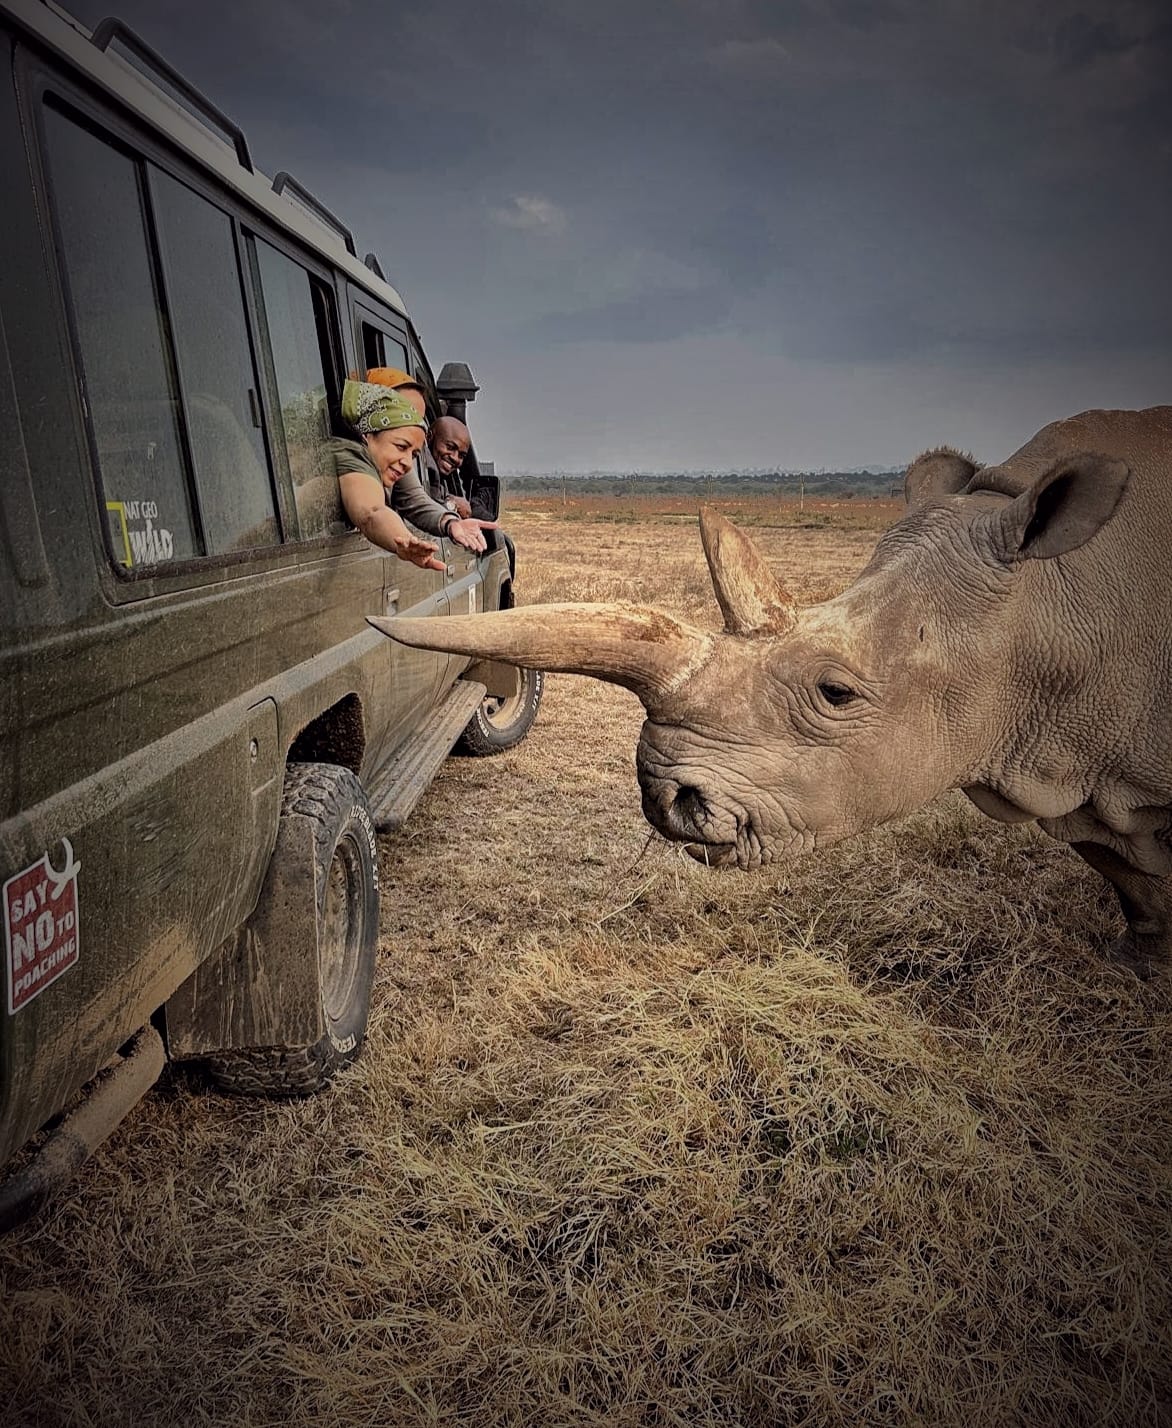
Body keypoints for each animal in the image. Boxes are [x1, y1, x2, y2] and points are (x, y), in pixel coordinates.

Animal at [369, 406, 1172, 977]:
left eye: (836, 693)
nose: (666, 799)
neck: (1048, 602)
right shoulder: (1072, 763)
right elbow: (1128, 872)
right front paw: (1136, 966)